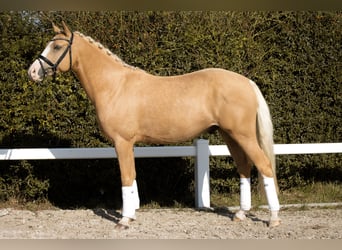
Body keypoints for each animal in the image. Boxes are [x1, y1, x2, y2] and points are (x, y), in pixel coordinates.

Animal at [28, 22, 280, 229]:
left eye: (57, 47)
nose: (32, 71)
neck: (115, 85)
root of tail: (247, 82)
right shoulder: (128, 144)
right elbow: (133, 177)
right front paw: (131, 214)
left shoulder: (122, 142)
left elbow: (126, 177)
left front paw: (124, 220)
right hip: (230, 136)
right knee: (244, 168)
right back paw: (241, 214)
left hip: (243, 135)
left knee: (265, 166)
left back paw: (274, 218)